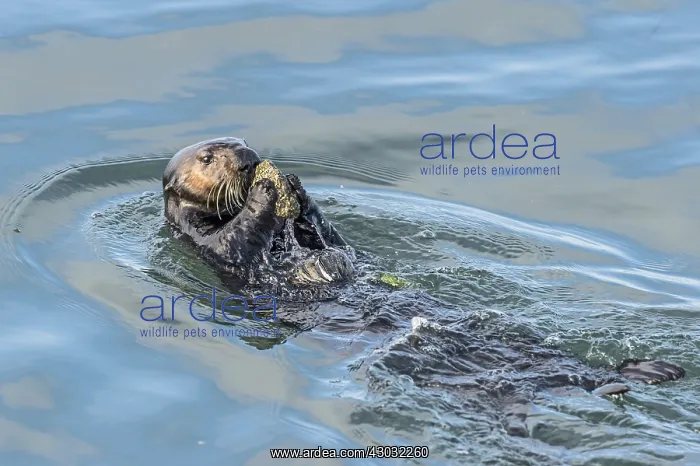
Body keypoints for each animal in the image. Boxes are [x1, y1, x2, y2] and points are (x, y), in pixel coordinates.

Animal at [162, 137, 354, 284]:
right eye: (207, 158)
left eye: (244, 141)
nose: (248, 158)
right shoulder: (203, 238)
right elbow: (233, 240)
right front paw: (262, 188)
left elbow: (329, 240)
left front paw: (296, 186)